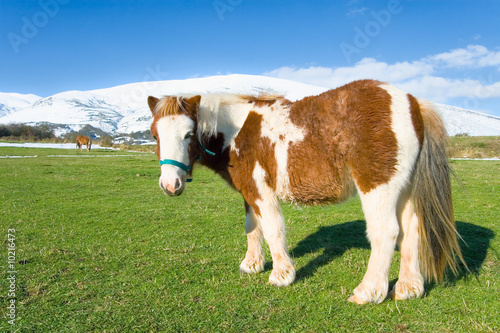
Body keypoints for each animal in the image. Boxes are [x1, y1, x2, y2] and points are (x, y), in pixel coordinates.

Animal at [147, 79, 464, 302]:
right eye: (154, 134)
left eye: (189, 134)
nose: (170, 185)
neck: (237, 130)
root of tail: (413, 102)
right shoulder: (249, 191)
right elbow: (253, 227)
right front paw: (252, 265)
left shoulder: (261, 191)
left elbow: (272, 228)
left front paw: (281, 275)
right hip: (405, 190)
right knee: (412, 229)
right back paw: (409, 288)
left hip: (378, 188)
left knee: (386, 232)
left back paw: (368, 292)